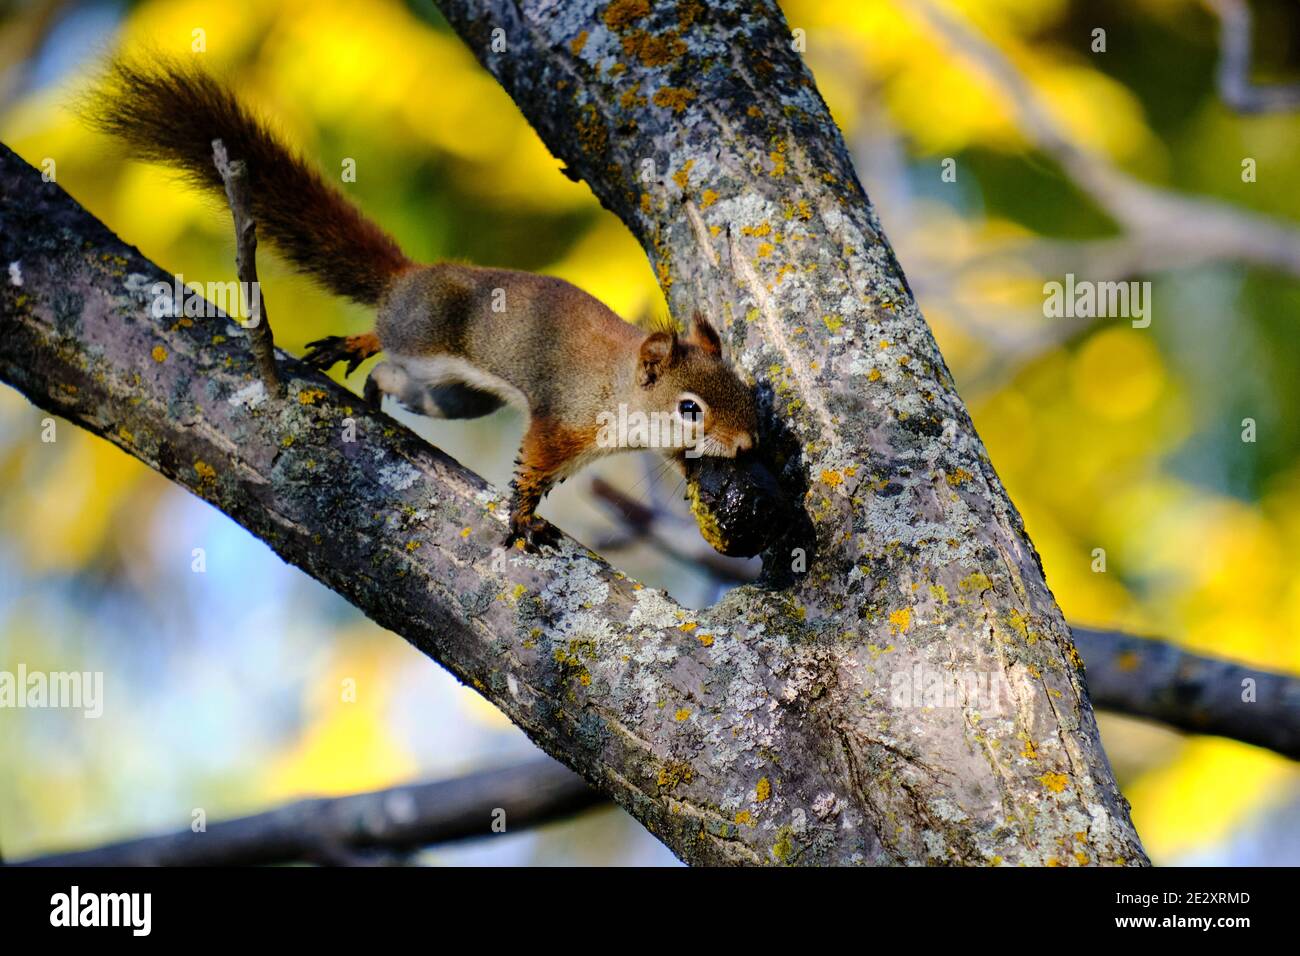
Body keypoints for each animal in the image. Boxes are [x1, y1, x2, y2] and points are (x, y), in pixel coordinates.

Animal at [85, 58, 758, 551]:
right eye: (691, 408)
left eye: (744, 392)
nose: (750, 444)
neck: (621, 392)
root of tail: (412, 276)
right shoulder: (563, 418)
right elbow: (533, 468)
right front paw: (522, 520)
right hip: (424, 332)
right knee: (387, 335)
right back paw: (356, 343)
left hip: (453, 397)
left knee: (392, 378)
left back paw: (374, 392)